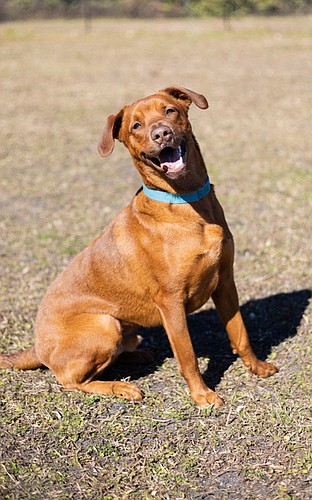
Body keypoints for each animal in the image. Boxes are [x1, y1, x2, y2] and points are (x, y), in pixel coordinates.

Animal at [0, 86, 278, 406]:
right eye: (136, 126)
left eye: (170, 111)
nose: (161, 133)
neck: (185, 201)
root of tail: (36, 346)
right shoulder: (171, 302)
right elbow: (188, 356)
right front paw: (202, 395)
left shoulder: (225, 282)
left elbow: (240, 334)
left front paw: (256, 367)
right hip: (105, 324)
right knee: (70, 381)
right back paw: (120, 387)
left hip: (125, 328)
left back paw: (139, 354)